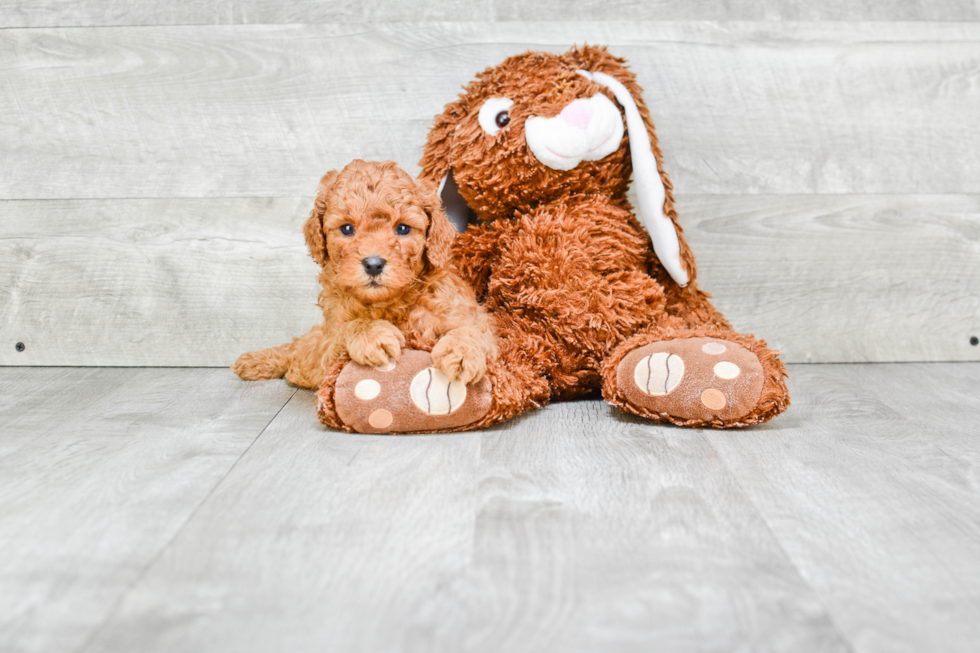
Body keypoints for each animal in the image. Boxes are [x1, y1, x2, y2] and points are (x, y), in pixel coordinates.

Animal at [232, 160, 498, 390]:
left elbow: (471, 330)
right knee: (299, 346)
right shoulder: (329, 346)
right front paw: (372, 334)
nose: (373, 264)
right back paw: (254, 361)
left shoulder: (474, 317)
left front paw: (462, 352)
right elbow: (346, 328)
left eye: (403, 228)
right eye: (347, 228)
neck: (390, 304)